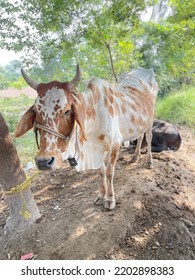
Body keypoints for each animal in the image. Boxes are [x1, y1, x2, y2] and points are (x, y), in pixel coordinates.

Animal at [15, 65, 158, 209]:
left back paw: (149, 162)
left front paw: (110, 198)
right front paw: (101, 196)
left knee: (149, 136)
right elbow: (101, 172)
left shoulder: (115, 143)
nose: (44, 162)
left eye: (67, 111)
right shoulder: (97, 149)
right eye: (36, 111)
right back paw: (135, 157)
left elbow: (109, 172)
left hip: (151, 118)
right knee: (140, 136)